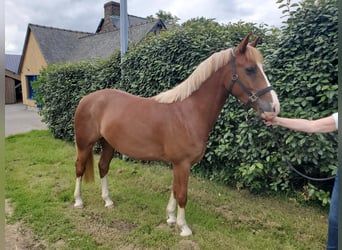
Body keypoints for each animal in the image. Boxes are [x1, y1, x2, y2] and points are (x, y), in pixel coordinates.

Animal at [73, 33, 280, 236]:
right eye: (250, 69)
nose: (274, 108)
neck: (188, 112)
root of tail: (86, 98)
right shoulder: (182, 163)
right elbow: (182, 194)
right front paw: (184, 227)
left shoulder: (177, 164)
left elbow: (174, 189)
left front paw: (171, 219)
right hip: (84, 144)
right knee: (79, 168)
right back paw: (78, 201)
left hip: (108, 143)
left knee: (102, 167)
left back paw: (107, 201)